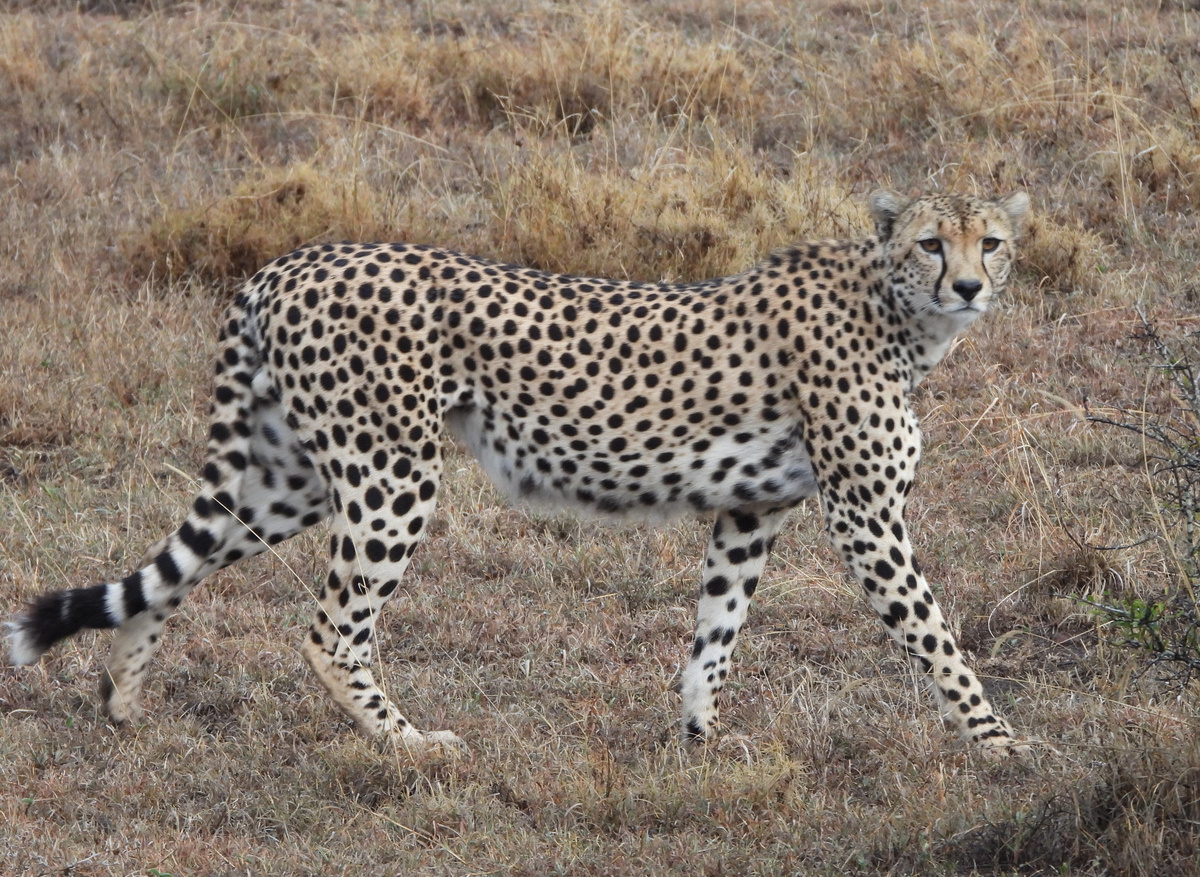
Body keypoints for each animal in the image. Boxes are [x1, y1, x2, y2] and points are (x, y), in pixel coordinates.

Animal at [8, 188, 1032, 757]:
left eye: (992, 241)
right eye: (933, 242)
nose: (970, 285)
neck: (900, 312)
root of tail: (290, 260)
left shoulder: (753, 510)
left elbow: (717, 629)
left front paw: (700, 734)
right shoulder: (865, 514)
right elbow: (936, 636)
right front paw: (1000, 743)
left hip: (293, 474)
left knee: (182, 562)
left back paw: (124, 693)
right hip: (392, 471)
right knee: (332, 630)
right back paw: (410, 745)